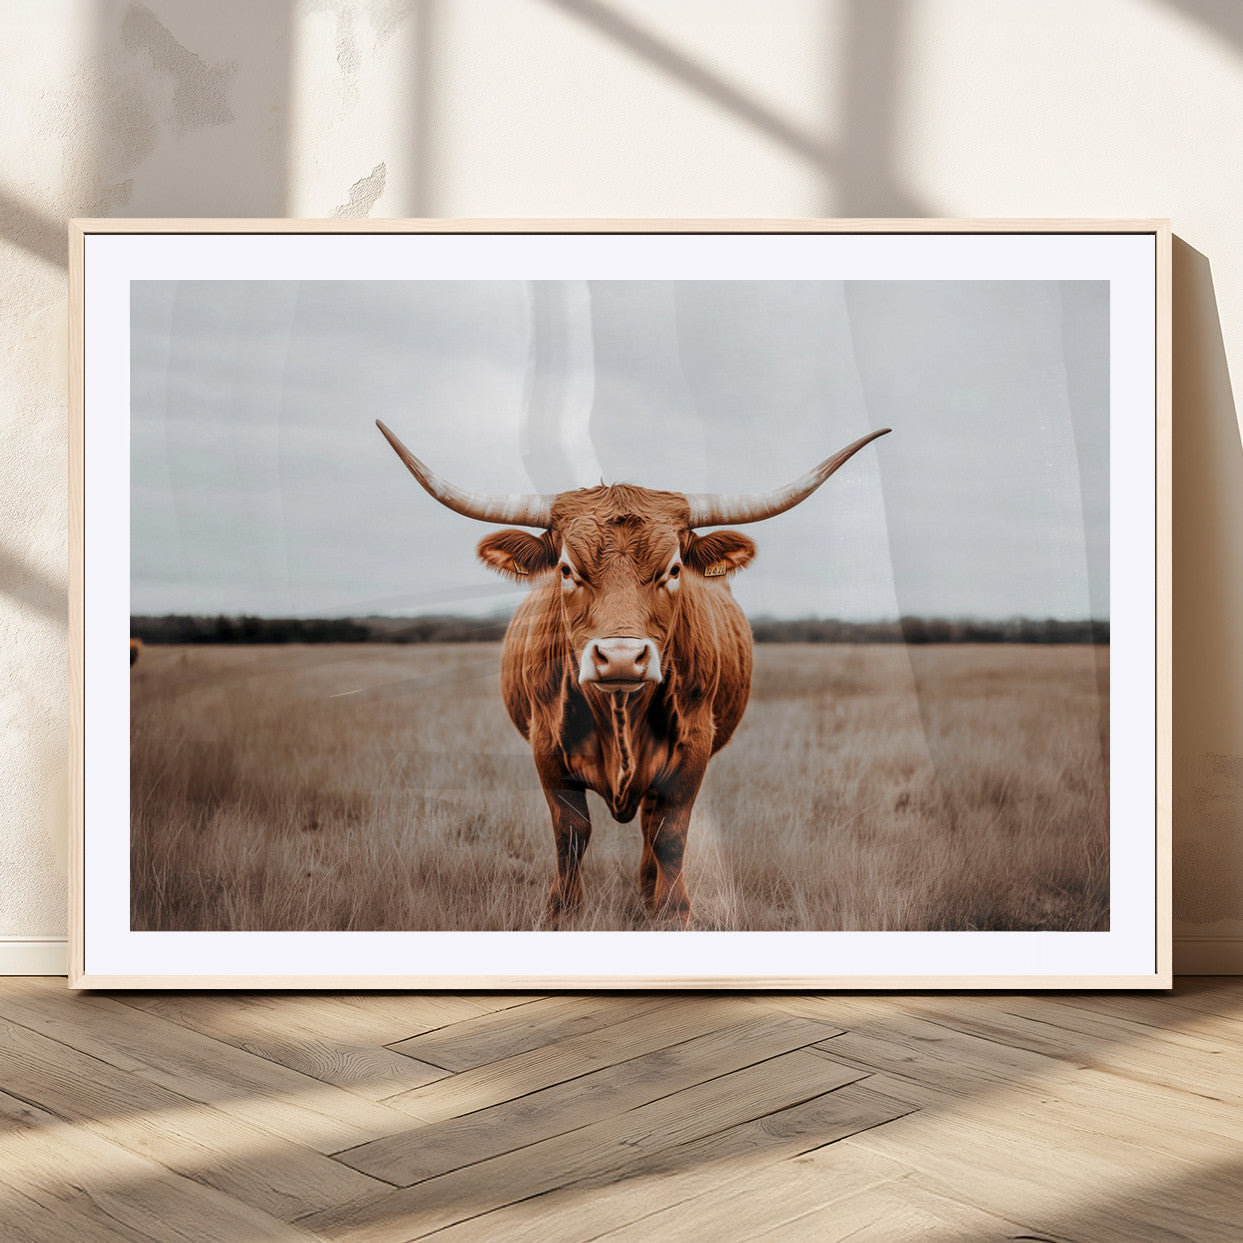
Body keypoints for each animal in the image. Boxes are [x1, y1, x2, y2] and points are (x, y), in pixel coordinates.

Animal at [377, 419, 889, 926]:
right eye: (566, 569)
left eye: (674, 569)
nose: (621, 657)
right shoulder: (546, 745)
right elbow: (572, 831)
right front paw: (563, 912)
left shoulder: (693, 747)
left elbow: (669, 833)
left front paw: (672, 911)